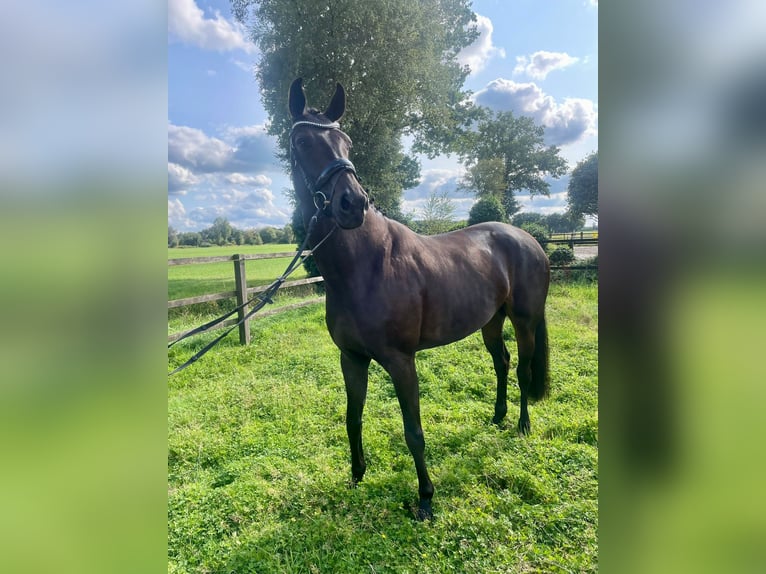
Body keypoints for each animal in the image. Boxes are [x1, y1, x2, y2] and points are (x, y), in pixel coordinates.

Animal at [288, 77, 552, 520]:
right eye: (303, 142)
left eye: (347, 142)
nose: (352, 204)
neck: (364, 266)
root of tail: (528, 239)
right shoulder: (351, 357)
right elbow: (352, 418)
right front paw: (356, 476)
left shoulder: (401, 361)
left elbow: (413, 431)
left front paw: (426, 498)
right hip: (491, 320)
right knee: (501, 362)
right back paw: (497, 417)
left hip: (524, 320)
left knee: (522, 369)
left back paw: (522, 425)